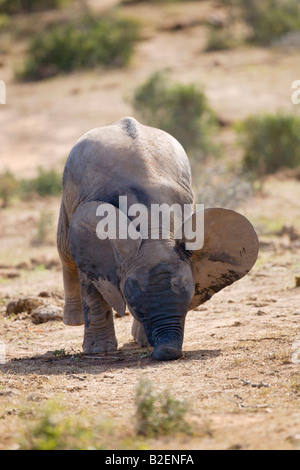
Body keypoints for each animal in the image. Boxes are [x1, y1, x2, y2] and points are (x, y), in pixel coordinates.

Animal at [58, 116, 258, 360]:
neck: (153, 229)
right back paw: (73, 321)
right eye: (134, 308)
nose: (168, 353)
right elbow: (91, 281)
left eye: (189, 299)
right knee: (65, 252)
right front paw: (99, 351)